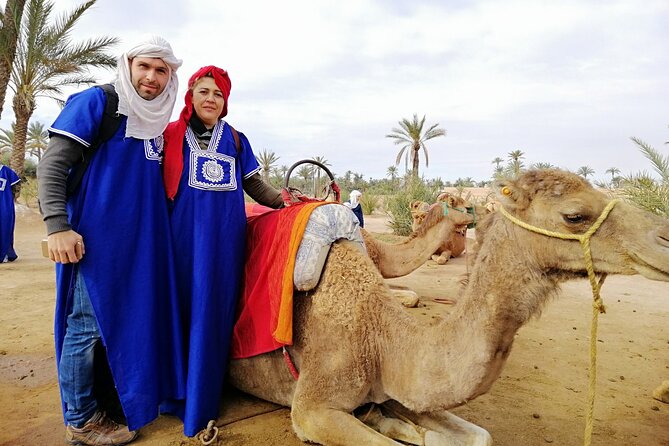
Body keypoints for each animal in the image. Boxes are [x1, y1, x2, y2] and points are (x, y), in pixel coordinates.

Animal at [227, 170, 664, 446]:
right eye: (574, 215)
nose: (665, 238)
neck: (379, 336)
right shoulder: (312, 409)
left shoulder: (397, 387)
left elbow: (478, 436)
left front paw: (395, 424)